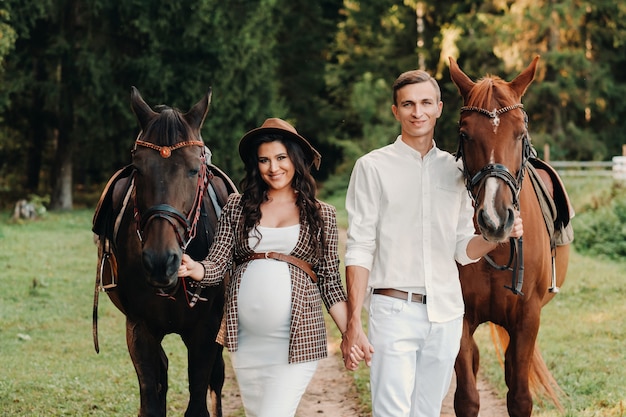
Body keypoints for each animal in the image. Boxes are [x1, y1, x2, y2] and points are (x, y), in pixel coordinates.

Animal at [92, 86, 236, 414]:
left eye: (194, 170)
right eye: (138, 169)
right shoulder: (139, 330)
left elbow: (198, 402)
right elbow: (151, 400)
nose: (161, 261)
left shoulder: (205, 333)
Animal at [448, 56, 572, 416]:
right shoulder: (460, 318)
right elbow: (467, 398)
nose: (494, 219)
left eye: (520, 133)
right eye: (465, 134)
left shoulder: (527, 318)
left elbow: (518, 397)